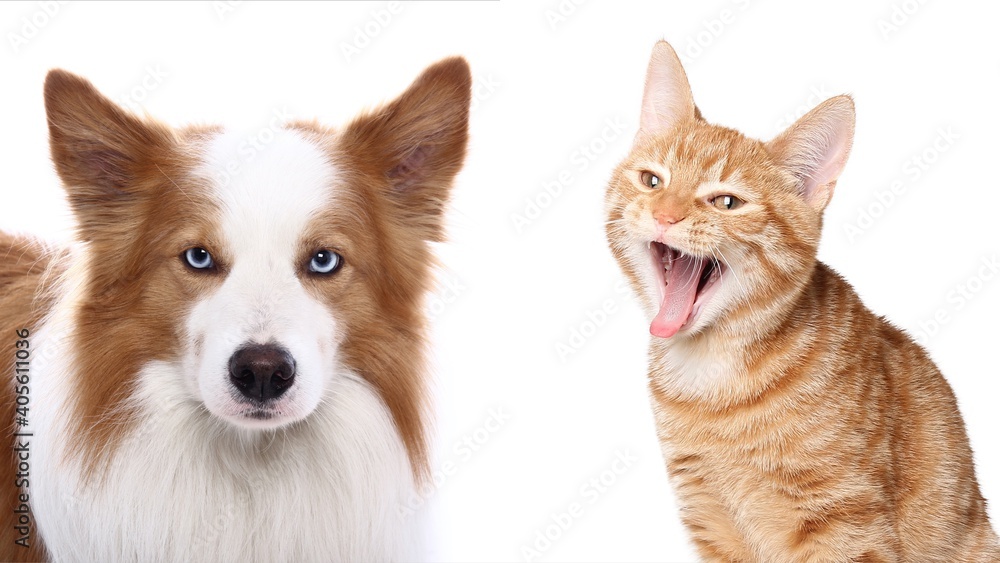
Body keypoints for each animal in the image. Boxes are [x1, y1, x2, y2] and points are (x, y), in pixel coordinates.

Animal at [600, 40, 1000, 563]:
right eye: (652, 181)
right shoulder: (710, 516)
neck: (713, 380)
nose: (665, 215)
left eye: (726, 203)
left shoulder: (844, 522)